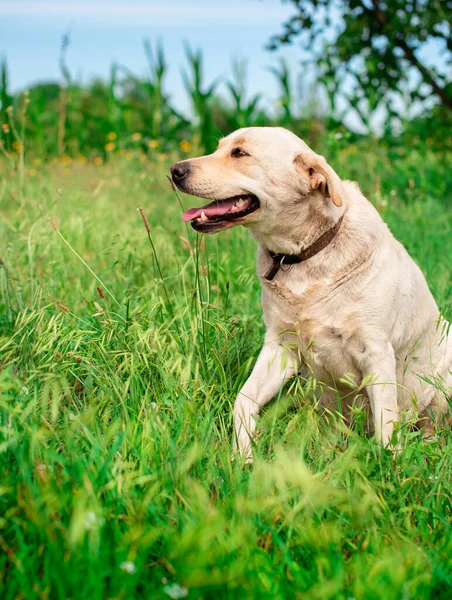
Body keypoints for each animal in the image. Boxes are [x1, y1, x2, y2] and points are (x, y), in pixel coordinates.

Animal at [170, 127, 452, 460]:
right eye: (219, 148)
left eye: (239, 153)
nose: (175, 170)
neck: (302, 255)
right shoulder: (280, 347)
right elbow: (243, 400)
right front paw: (242, 456)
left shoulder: (376, 351)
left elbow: (385, 422)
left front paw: (388, 465)